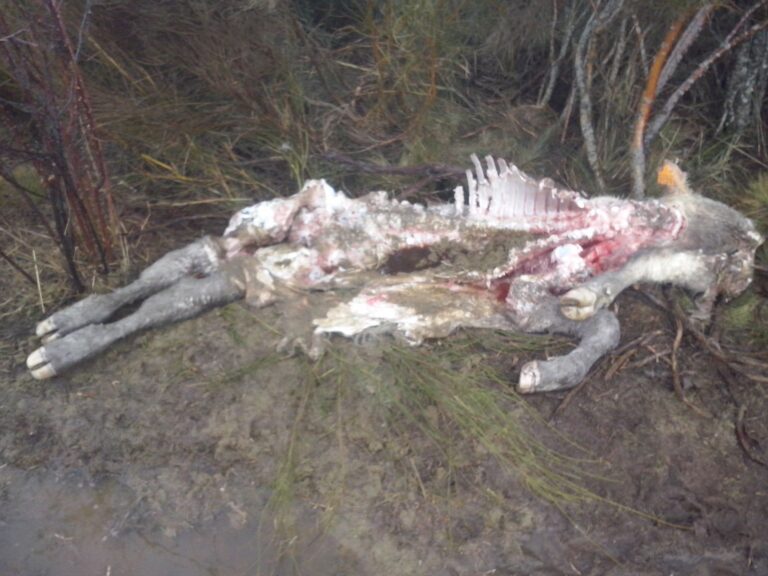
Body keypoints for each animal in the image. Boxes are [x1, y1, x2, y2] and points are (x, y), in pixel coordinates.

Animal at [27, 156, 763, 393]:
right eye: (739, 245)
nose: (745, 282)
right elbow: (602, 313)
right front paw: (547, 369)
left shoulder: (515, 304)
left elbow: (603, 323)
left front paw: (544, 371)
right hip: (272, 228)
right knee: (182, 265)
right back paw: (57, 339)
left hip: (257, 272)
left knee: (179, 288)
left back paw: (61, 336)